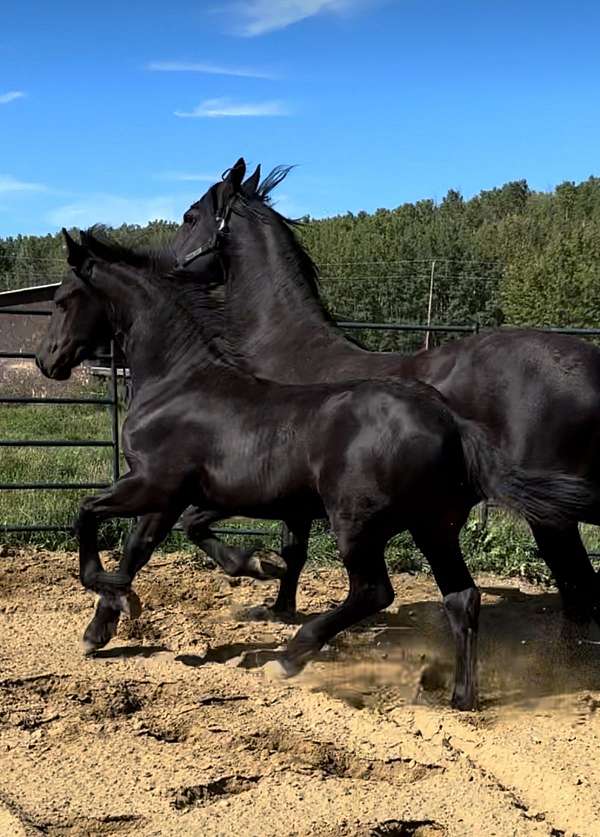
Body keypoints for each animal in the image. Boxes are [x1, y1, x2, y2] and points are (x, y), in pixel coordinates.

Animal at [37, 225, 596, 708]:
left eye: (62, 299)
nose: (47, 360)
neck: (178, 384)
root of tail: (450, 421)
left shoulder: (154, 484)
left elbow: (89, 514)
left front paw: (117, 600)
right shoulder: (179, 496)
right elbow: (151, 543)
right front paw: (110, 620)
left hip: (358, 524)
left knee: (376, 591)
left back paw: (289, 658)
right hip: (434, 526)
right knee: (463, 597)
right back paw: (459, 698)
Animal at [170, 160, 600, 624]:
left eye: (190, 217)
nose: (167, 266)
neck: (285, 350)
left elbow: (230, 532)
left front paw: (259, 580)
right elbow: (293, 552)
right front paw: (280, 608)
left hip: (551, 517)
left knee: (580, 589)